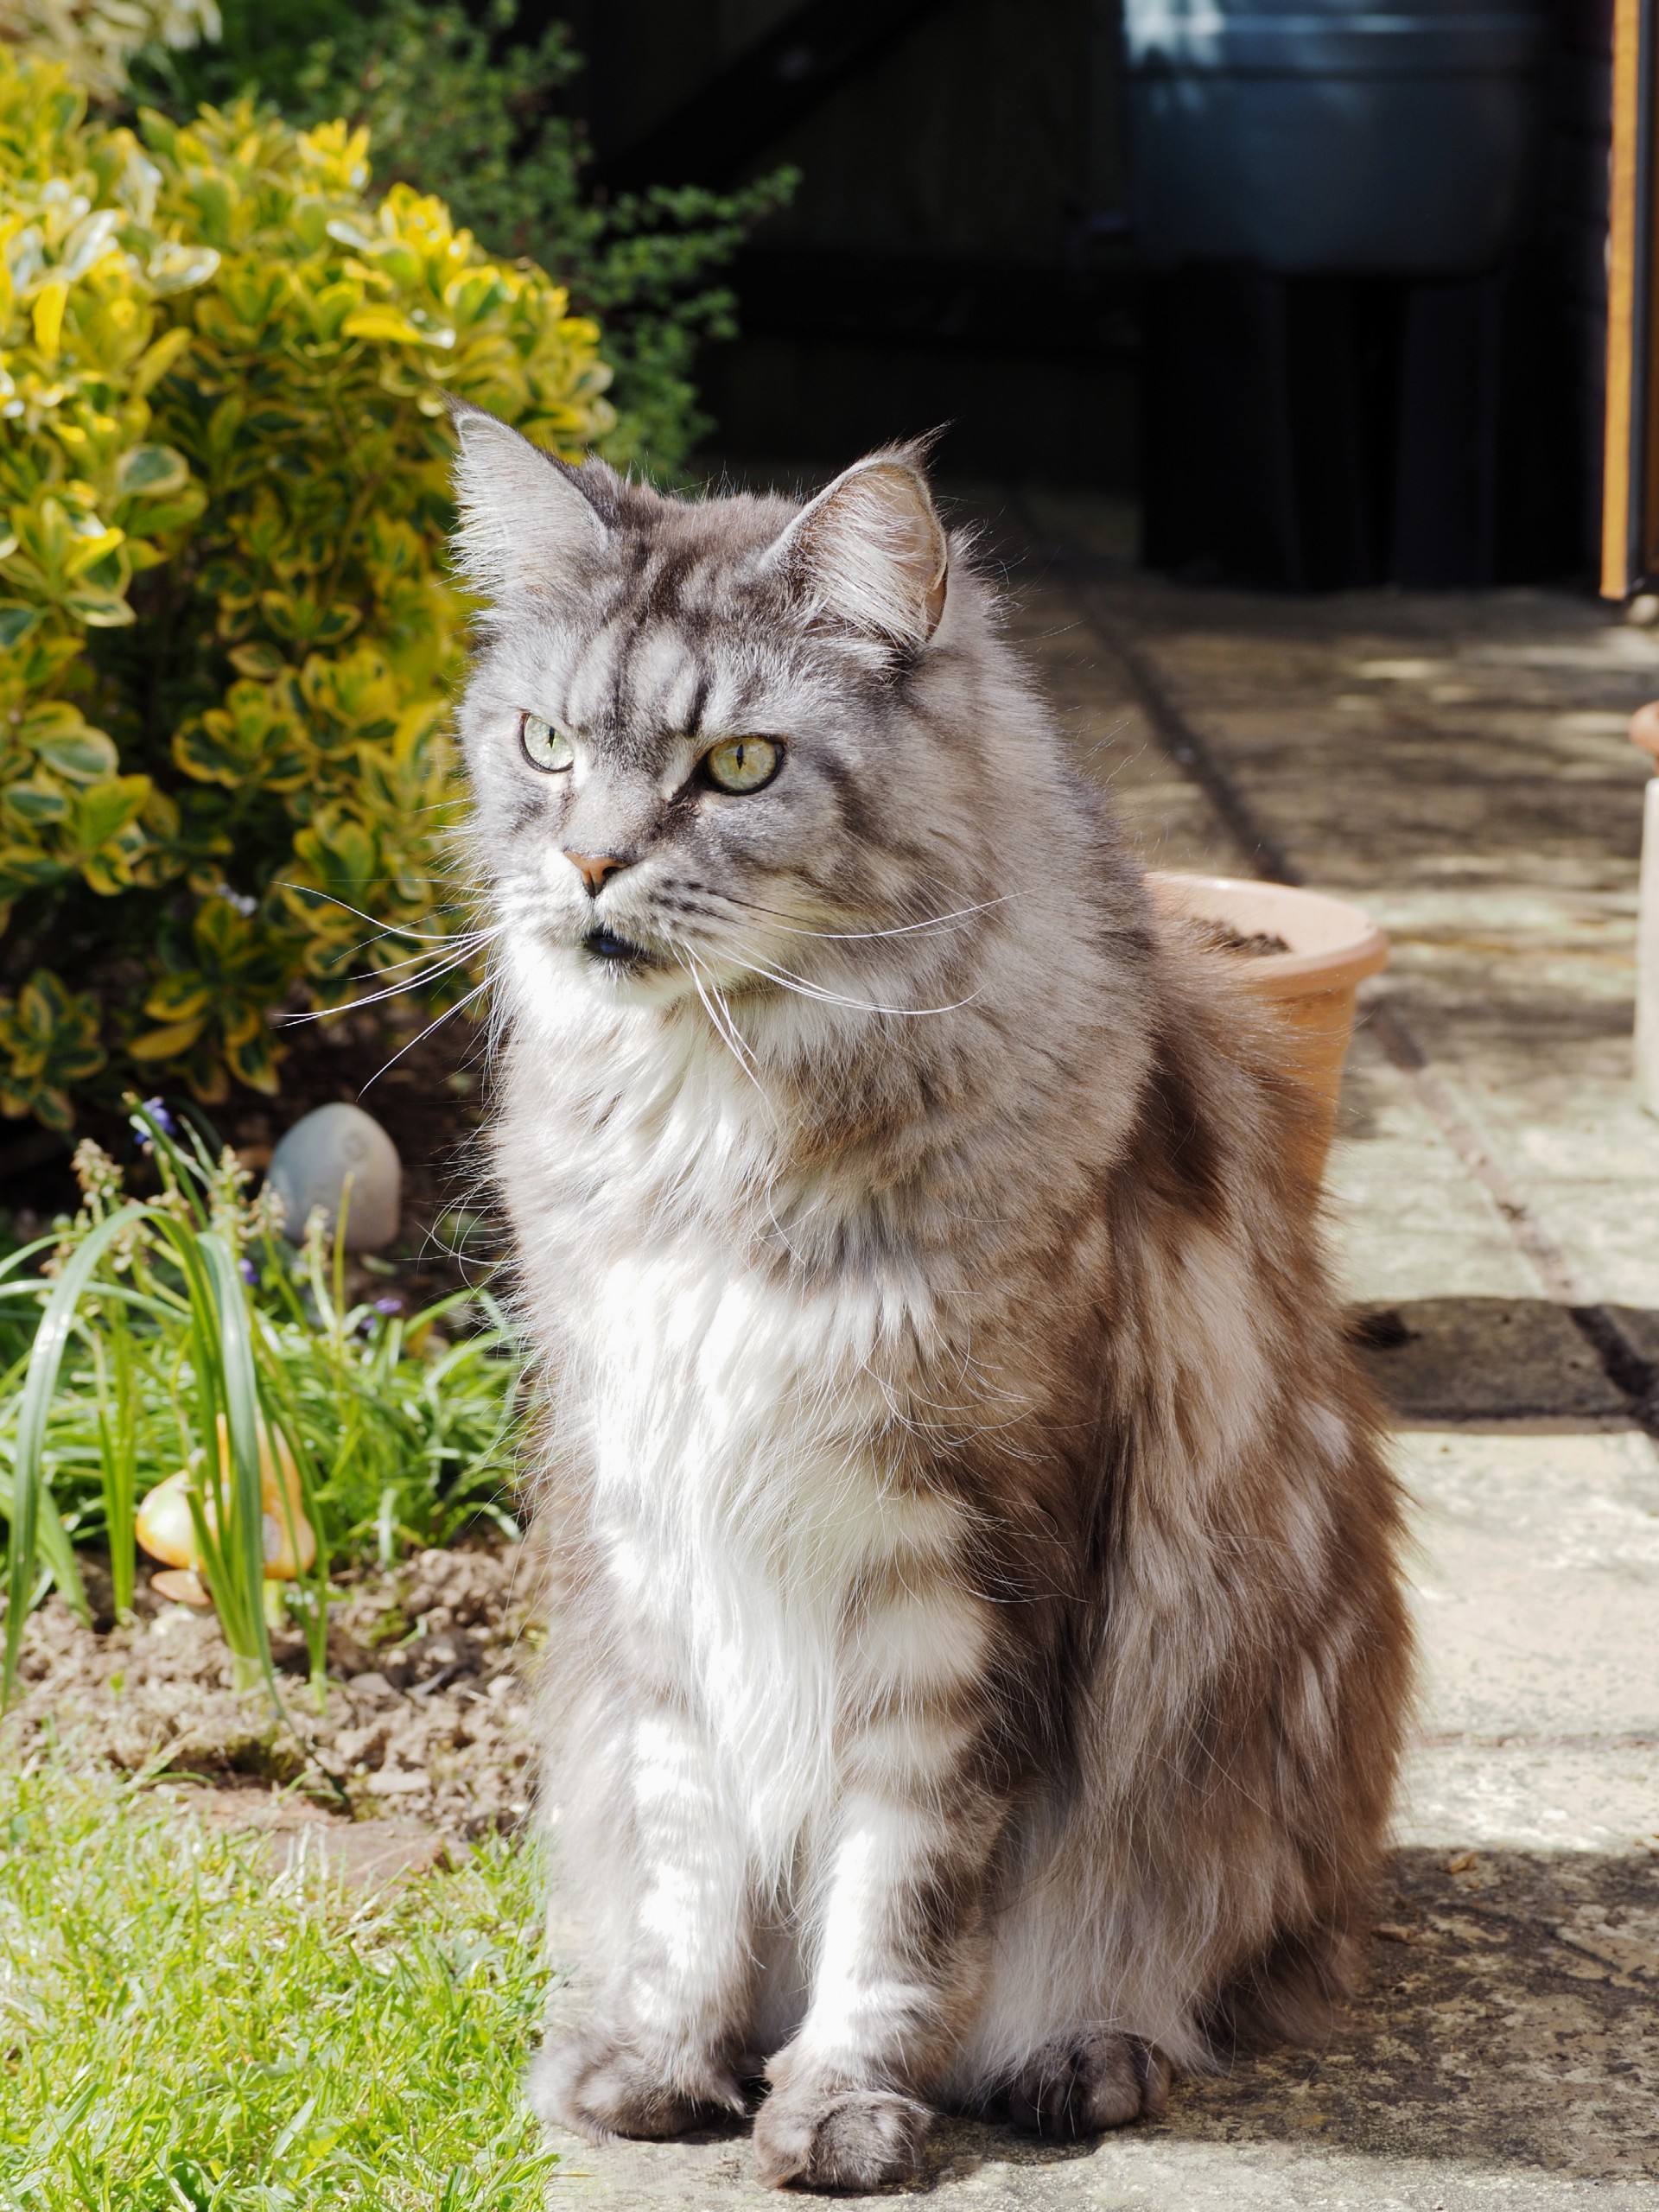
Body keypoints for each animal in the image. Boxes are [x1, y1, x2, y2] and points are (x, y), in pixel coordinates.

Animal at [451, 402, 1415, 2194]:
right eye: (546, 742)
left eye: (739, 764)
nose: (591, 863)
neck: (720, 1130)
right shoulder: (661, 1532)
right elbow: (692, 1867)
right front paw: (663, 2066)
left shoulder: (963, 1568)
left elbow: (897, 1898)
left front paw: (840, 2108)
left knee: (1188, 1976)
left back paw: (1083, 2061)